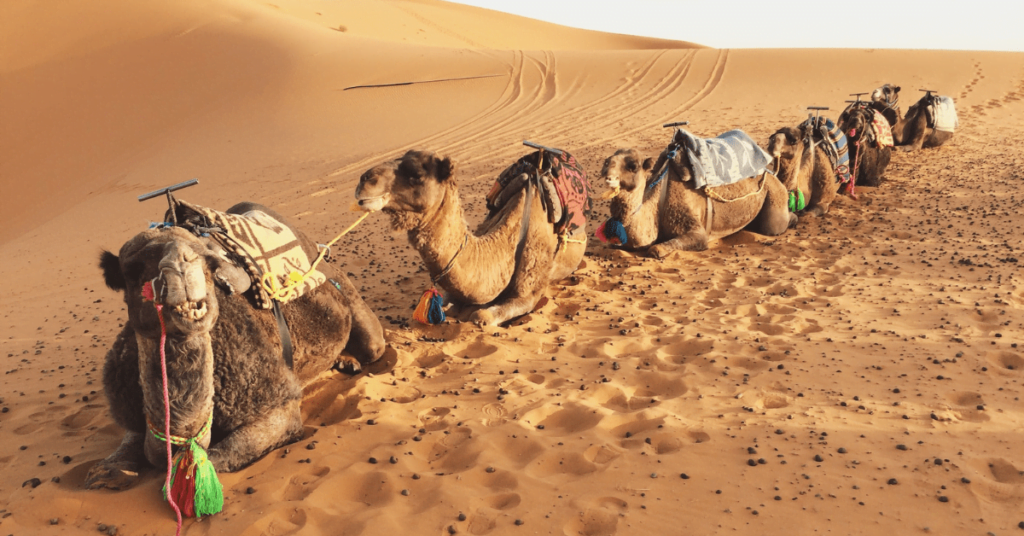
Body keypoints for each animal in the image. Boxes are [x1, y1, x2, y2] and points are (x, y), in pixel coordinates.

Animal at [85, 202, 385, 492]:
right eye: (132, 270)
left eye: (208, 261)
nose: (181, 265)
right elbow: (128, 447)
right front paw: (107, 471)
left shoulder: (277, 407)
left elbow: (212, 460)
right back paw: (346, 361)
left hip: (346, 294)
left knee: (373, 344)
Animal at [598, 130, 795, 258]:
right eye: (607, 161)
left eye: (633, 166)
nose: (607, 174)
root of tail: (769, 172)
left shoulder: (694, 228)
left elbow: (656, 249)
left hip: (773, 192)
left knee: (774, 226)